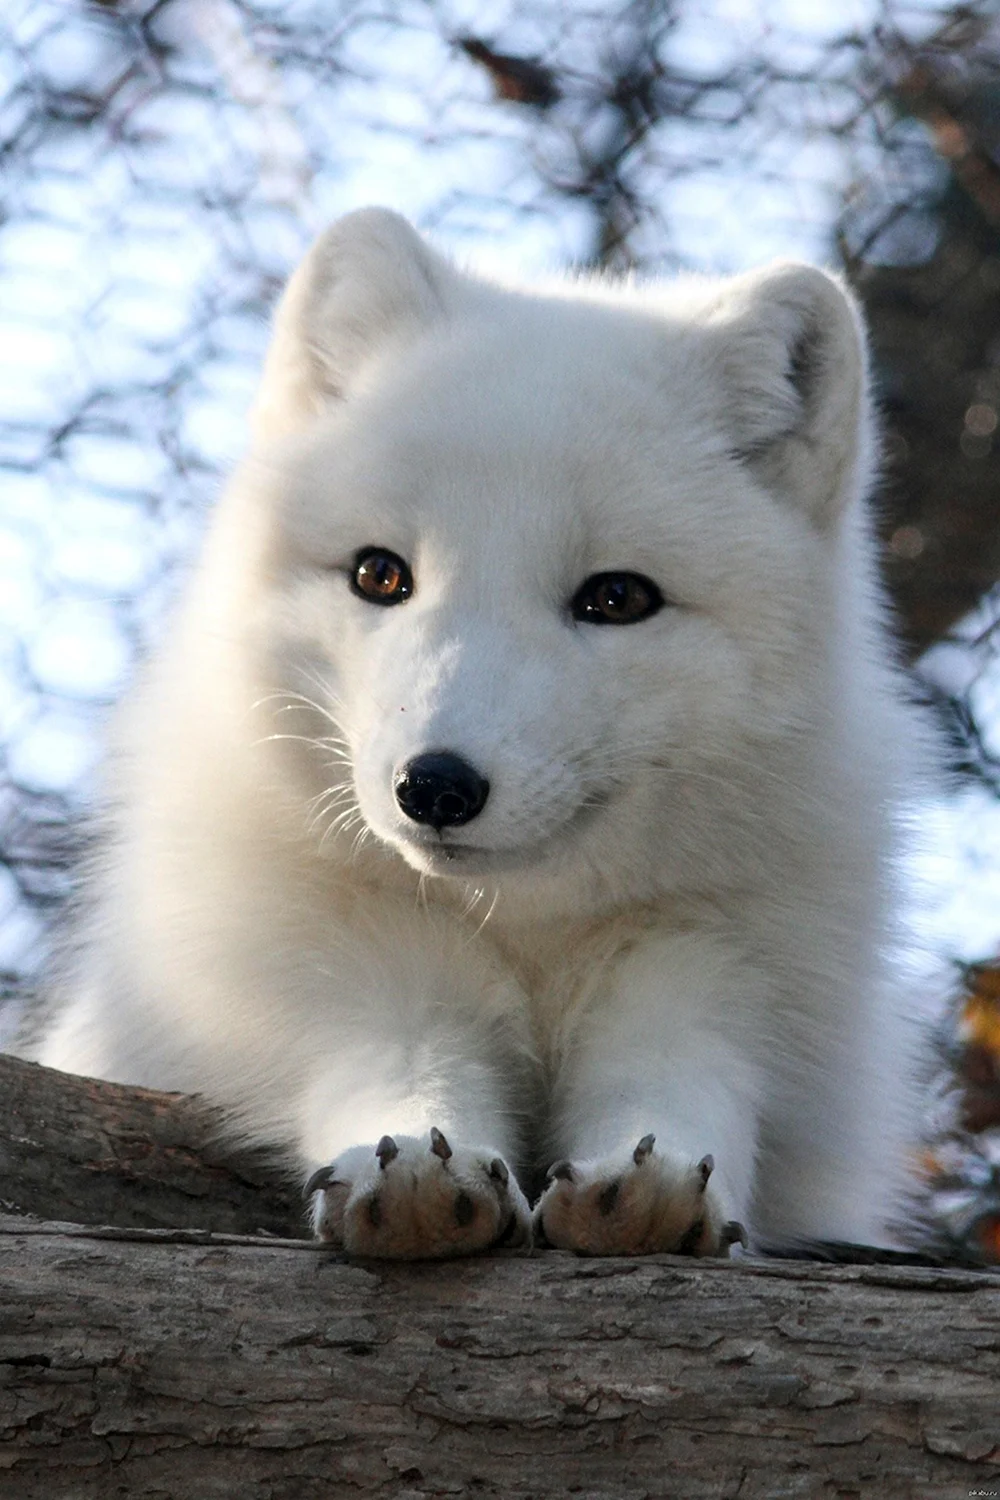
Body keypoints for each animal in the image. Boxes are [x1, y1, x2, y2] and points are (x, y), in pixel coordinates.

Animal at [39, 211, 929, 1260]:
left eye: (617, 597)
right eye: (379, 575)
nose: (435, 786)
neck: (525, 933)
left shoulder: (719, 976)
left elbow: (680, 1082)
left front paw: (656, 1186)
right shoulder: (348, 973)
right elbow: (405, 1065)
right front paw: (416, 1171)